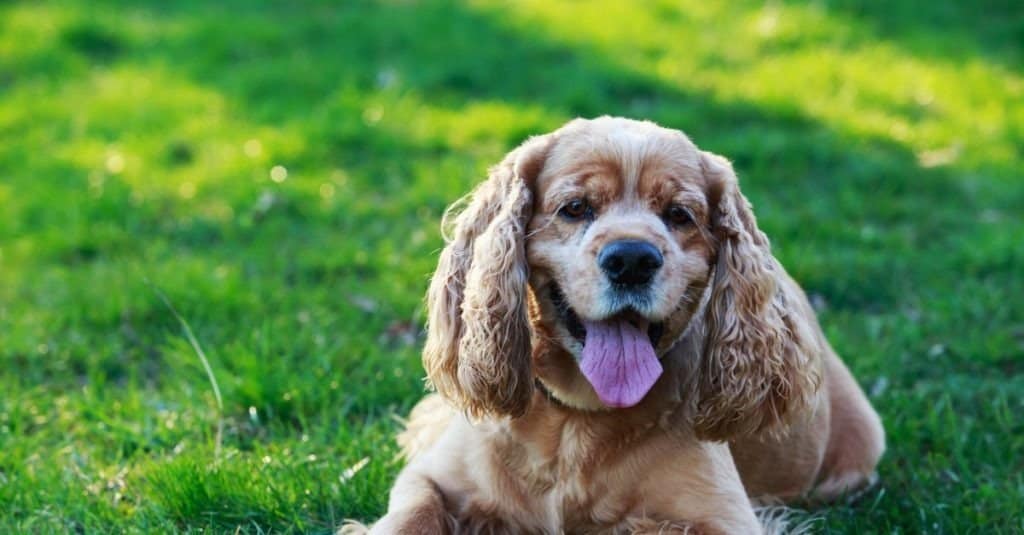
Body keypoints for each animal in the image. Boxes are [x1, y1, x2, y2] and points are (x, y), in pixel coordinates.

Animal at [350, 117, 880, 532]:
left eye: (678, 215)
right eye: (575, 208)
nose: (631, 260)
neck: (578, 418)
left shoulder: (723, 516)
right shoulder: (432, 479)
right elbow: (411, 515)